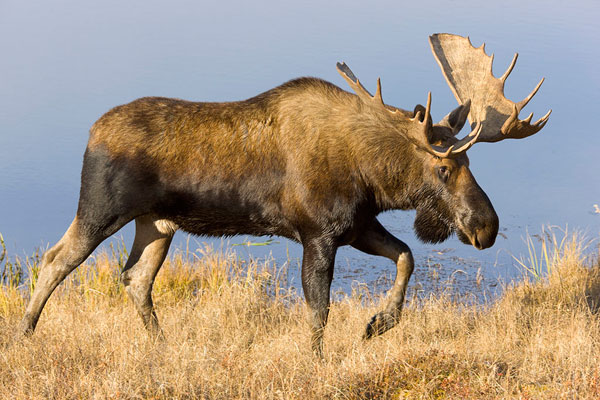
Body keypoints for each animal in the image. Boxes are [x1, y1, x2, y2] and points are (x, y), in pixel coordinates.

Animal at [21, 33, 552, 354]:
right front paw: (319, 360)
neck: (373, 176)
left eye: (470, 164)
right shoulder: (318, 234)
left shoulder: (357, 226)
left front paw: (379, 323)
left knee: (135, 278)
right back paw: (25, 334)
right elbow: (319, 310)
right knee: (54, 260)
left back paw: (163, 345)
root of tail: (92, 132)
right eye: (443, 167)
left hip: (156, 223)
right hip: (101, 210)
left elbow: (405, 257)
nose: (486, 227)